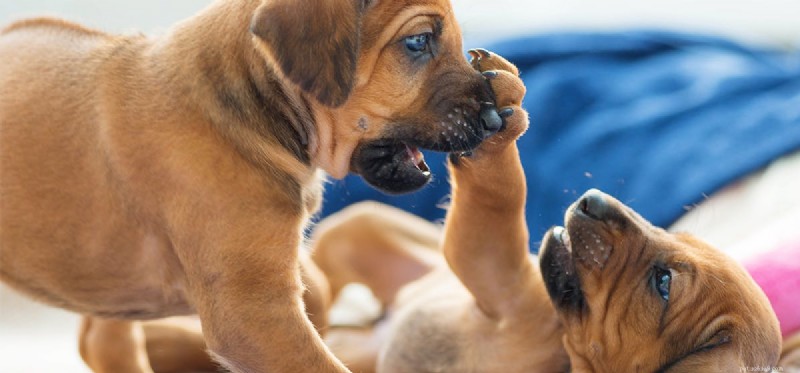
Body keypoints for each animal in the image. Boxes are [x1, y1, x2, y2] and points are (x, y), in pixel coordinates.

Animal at [0, 0, 506, 372]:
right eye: (417, 41)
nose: (497, 119)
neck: (252, 107)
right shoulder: (251, 313)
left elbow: (315, 286)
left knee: (101, 335)